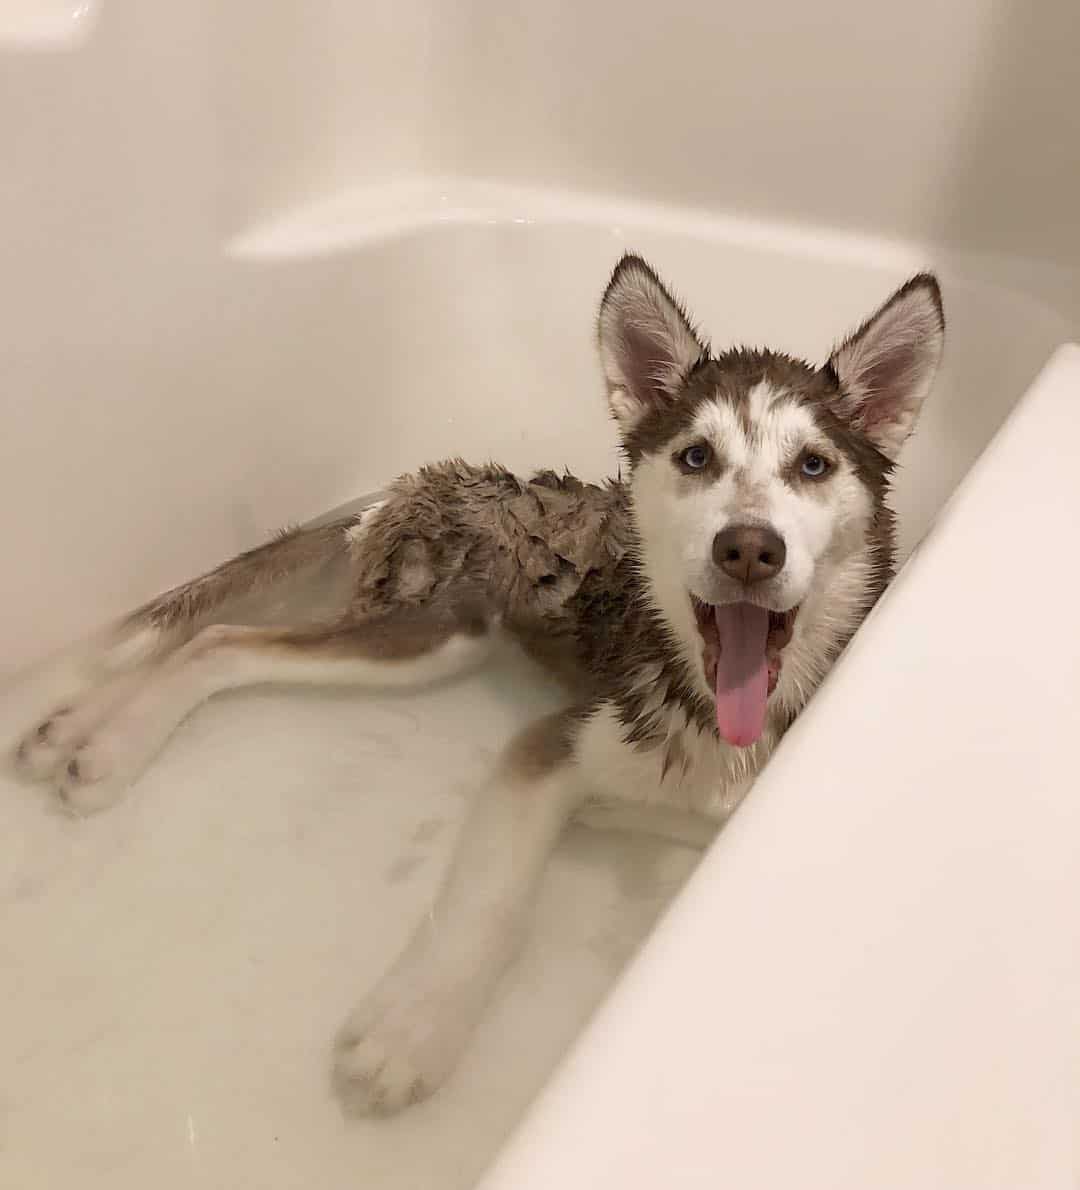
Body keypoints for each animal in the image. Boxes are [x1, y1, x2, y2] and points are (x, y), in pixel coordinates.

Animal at [10, 253, 946, 1113]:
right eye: (695, 456)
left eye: (813, 466)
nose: (749, 548)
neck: (716, 717)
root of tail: (412, 483)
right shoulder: (553, 746)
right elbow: (493, 905)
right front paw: (414, 1026)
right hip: (438, 635)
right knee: (221, 641)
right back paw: (108, 744)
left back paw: (71, 732)